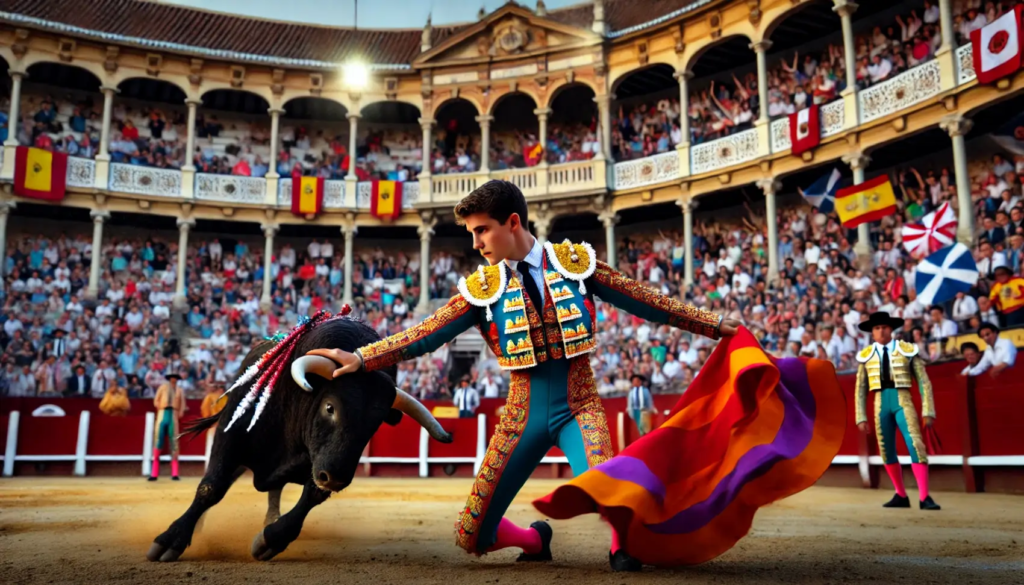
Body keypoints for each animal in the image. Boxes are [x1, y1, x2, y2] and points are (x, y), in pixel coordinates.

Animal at [146, 317, 450, 565]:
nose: (336, 479)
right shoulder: (229, 434)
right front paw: (170, 540)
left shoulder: (321, 464)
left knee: (274, 491)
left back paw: (270, 519)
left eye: (373, 426)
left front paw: (269, 540)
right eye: (330, 407)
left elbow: (310, 498)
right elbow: (212, 486)